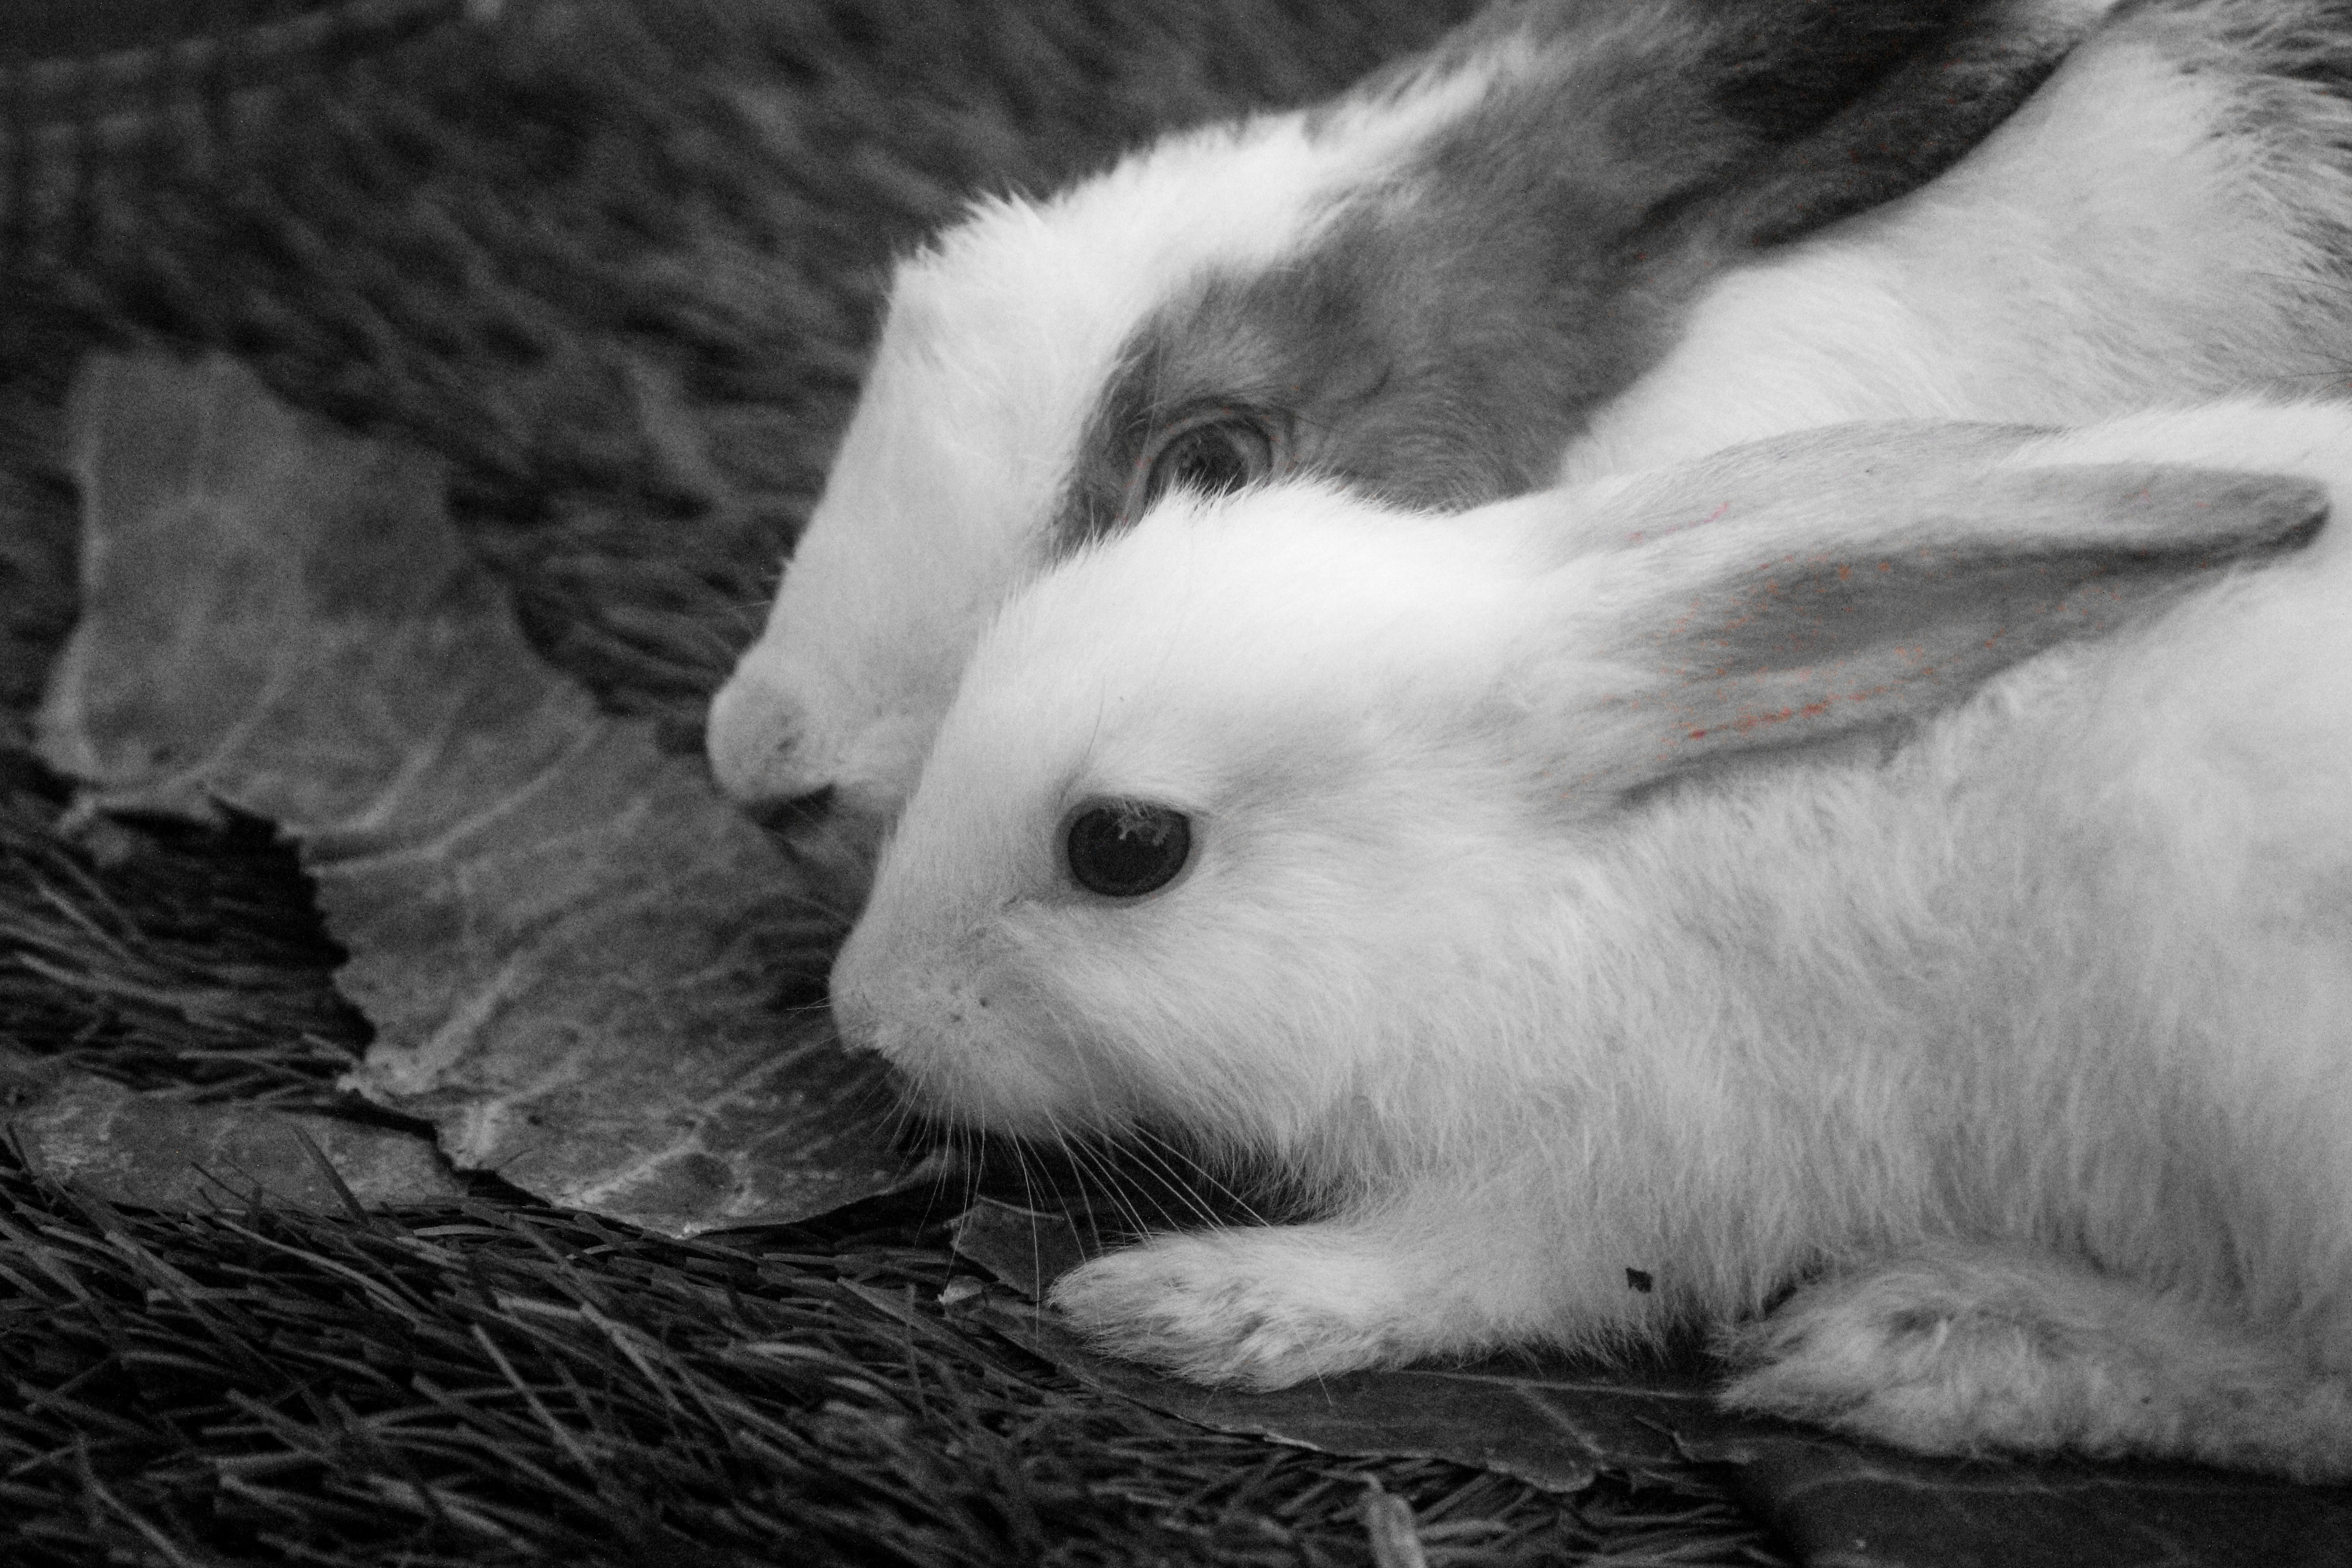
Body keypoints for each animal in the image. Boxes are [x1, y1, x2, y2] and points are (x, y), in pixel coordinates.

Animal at [830, 398, 2352, 1477]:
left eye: (1127, 849)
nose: (866, 1020)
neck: (1522, 889)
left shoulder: (1625, 1170)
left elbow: (1463, 1276)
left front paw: (1195, 1305)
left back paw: (1937, 1342)